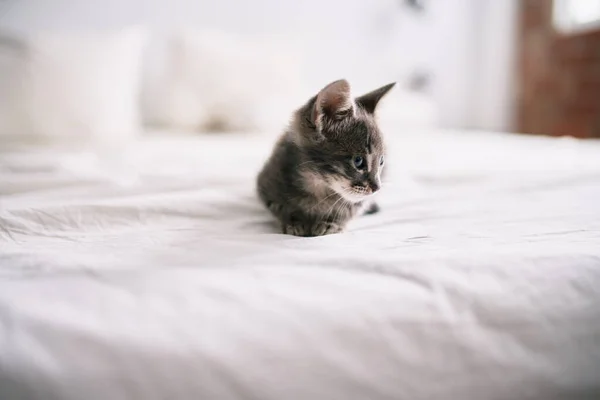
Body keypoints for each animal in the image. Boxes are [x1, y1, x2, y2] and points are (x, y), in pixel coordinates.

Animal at [256, 79, 394, 238]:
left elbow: (350, 209)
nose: (377, 188)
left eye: (381, 161)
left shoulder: (359, 201)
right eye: (358, 161)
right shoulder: (266, 183)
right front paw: (293, 222)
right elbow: (280, 207)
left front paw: (331, 223)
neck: (318, 186)